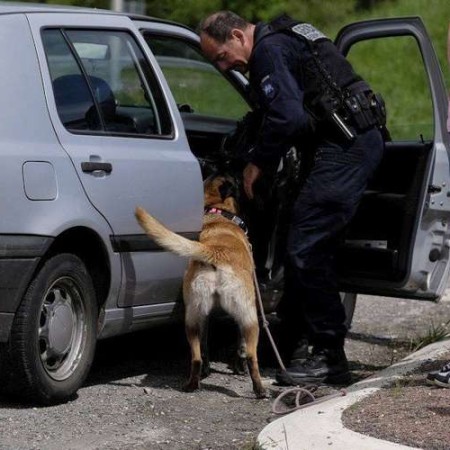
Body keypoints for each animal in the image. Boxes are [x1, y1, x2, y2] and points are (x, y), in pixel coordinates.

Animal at [135, 175, 266, 398]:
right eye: (237, 181)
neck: (217, 213)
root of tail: (215, 252)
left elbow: (206, 348)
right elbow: (240, 348)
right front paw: (238, 366)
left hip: (193, 319)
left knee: (196, 356)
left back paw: (193, 383)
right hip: (250, 319)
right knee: (252, 357)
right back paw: (260, 390)